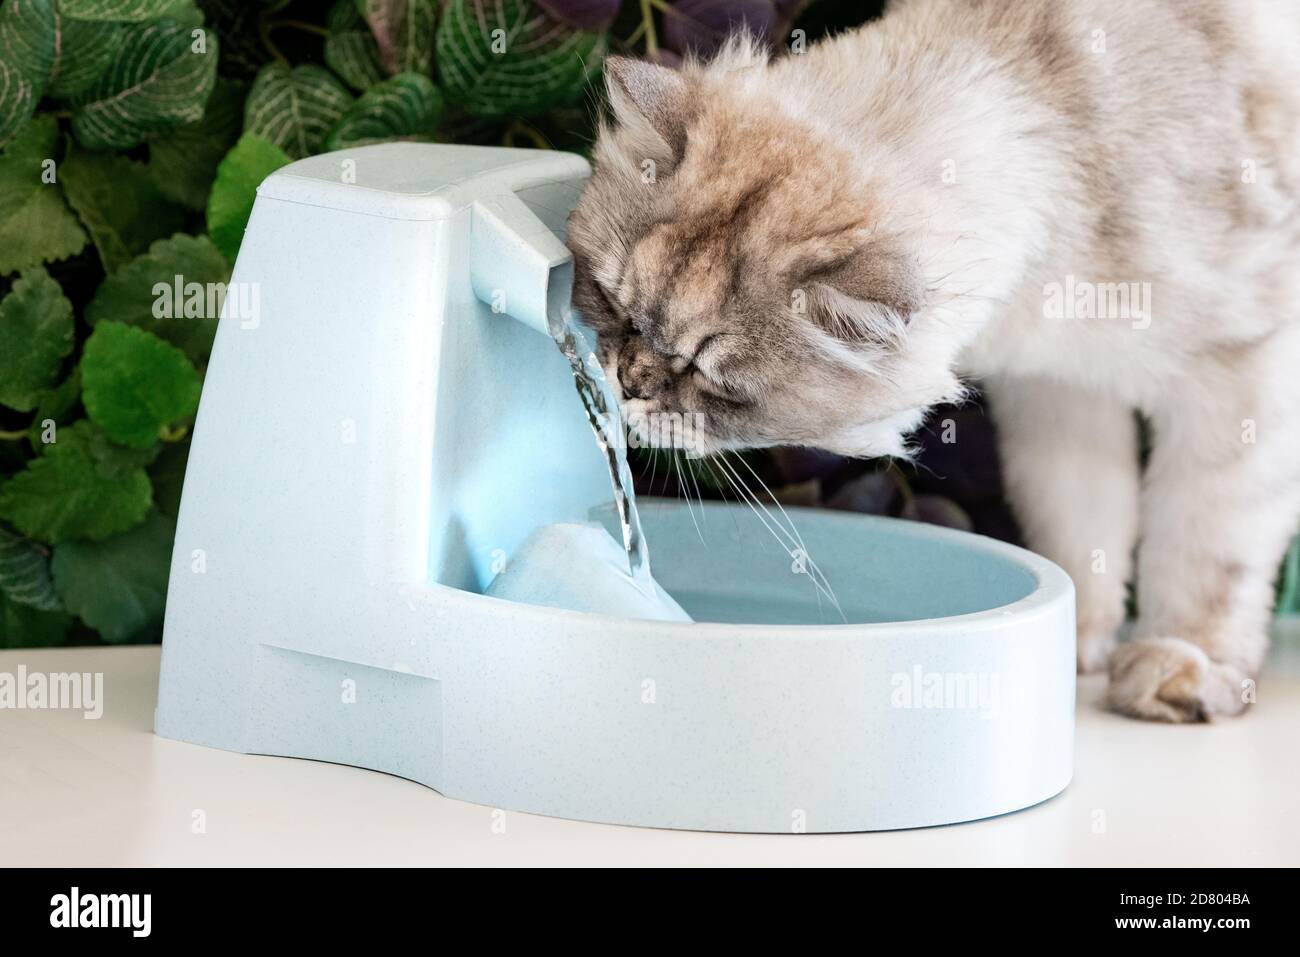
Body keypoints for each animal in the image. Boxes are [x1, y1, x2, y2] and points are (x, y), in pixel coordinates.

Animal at [566, 0, 1300, 722]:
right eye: (615, 305)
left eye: (709, 376)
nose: (628, 385)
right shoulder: (1058, 392)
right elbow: (1083, 527)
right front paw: (1077, 642)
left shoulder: (1241, 370)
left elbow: (1203, 549)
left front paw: (1181, 666)